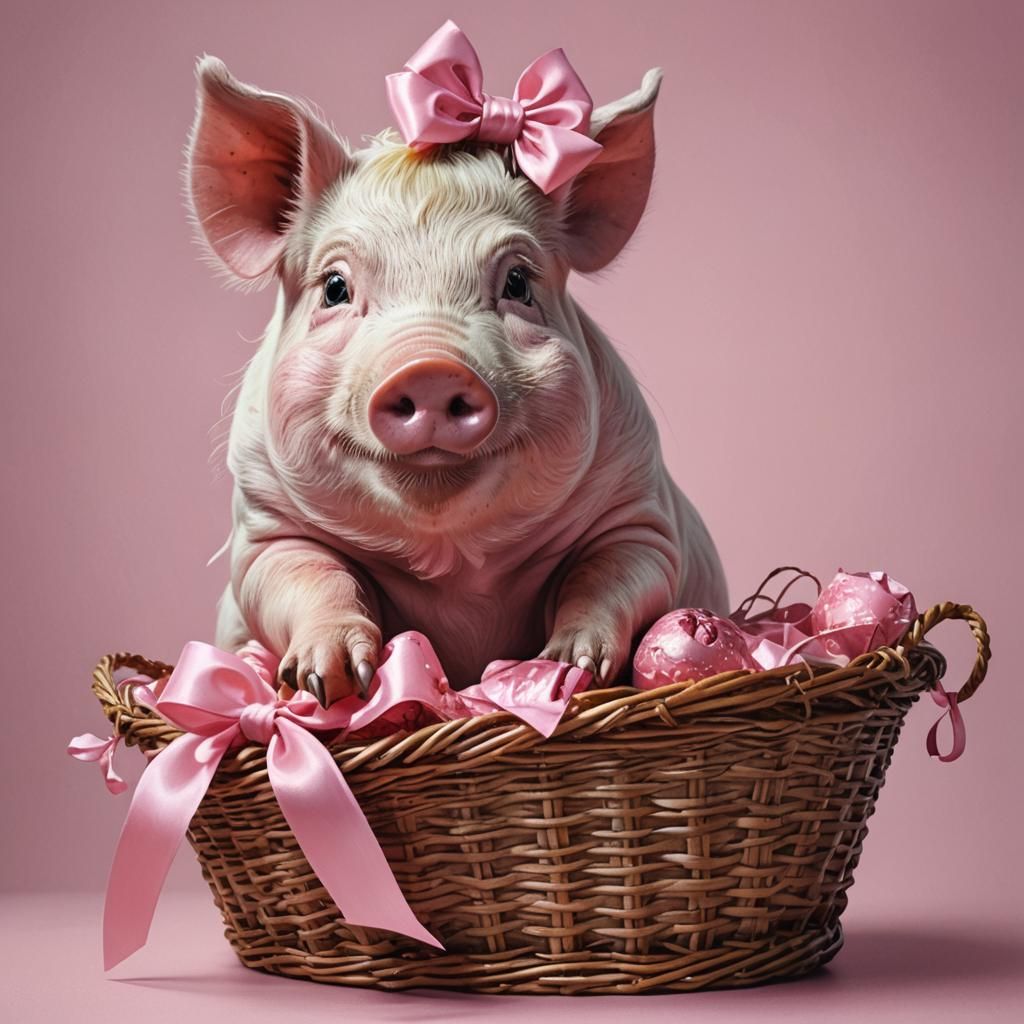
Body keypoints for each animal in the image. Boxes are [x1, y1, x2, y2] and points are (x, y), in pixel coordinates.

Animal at [185, 54, 728, 707]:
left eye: (518, 282)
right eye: (335, 287)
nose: (431, 367)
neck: (456, 569)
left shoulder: (641, 514)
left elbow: (609, 574)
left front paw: (569, 666)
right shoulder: (264, 526)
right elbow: (309, 575)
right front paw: (327, 681)